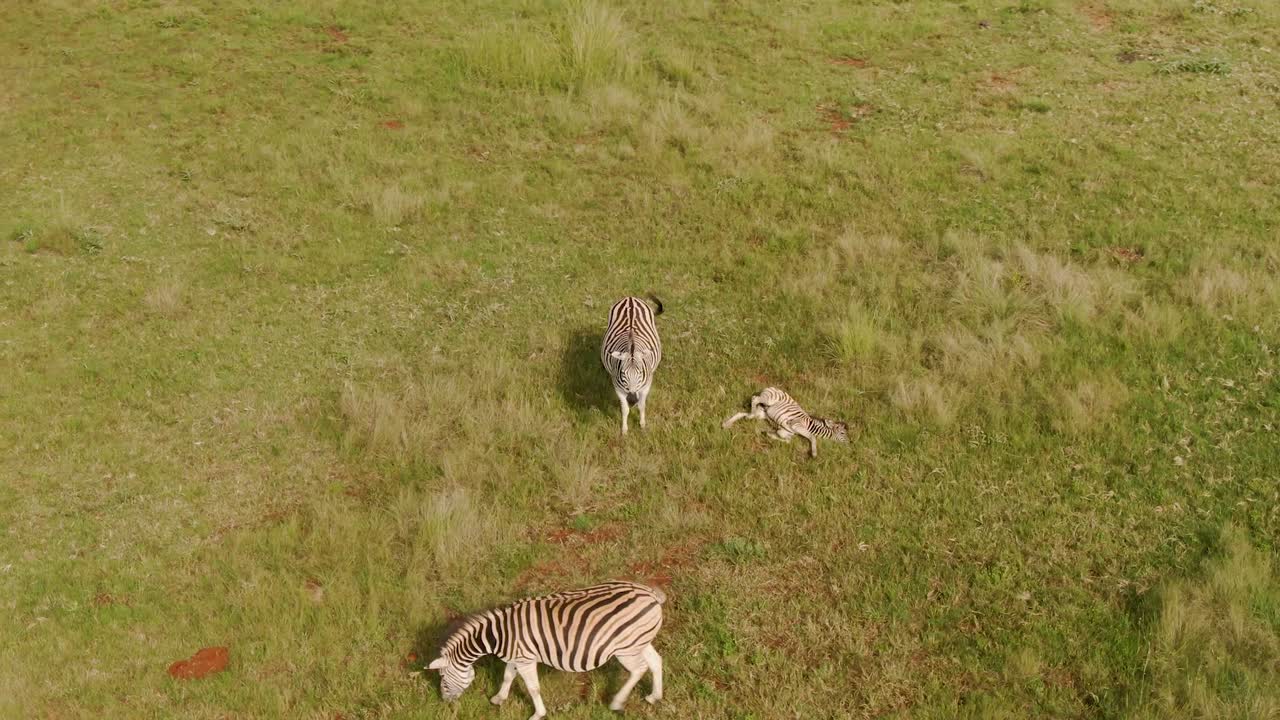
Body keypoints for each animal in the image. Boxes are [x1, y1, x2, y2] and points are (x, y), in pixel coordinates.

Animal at [427, 581, 666, 720]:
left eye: (443, 679)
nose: (445, 703)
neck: (499, 635)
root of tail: (649, 592)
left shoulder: (525, 660)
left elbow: (533, 688)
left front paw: (538, 714)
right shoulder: (517, 657)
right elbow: (507, 676)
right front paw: (498, 699)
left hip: (625, 650)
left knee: (639, 669)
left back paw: (616, 702)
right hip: (638, 643)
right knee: (656, 662)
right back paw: (654, 697)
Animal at [600, 295, 663, 435]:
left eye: (640, 372)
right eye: (623, 373)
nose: (632, 399)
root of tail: (630, 298)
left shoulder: (646, 385)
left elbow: (641, 406)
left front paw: (642, 425)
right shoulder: (618, 388)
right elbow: (625, 409)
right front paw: (624, 430)